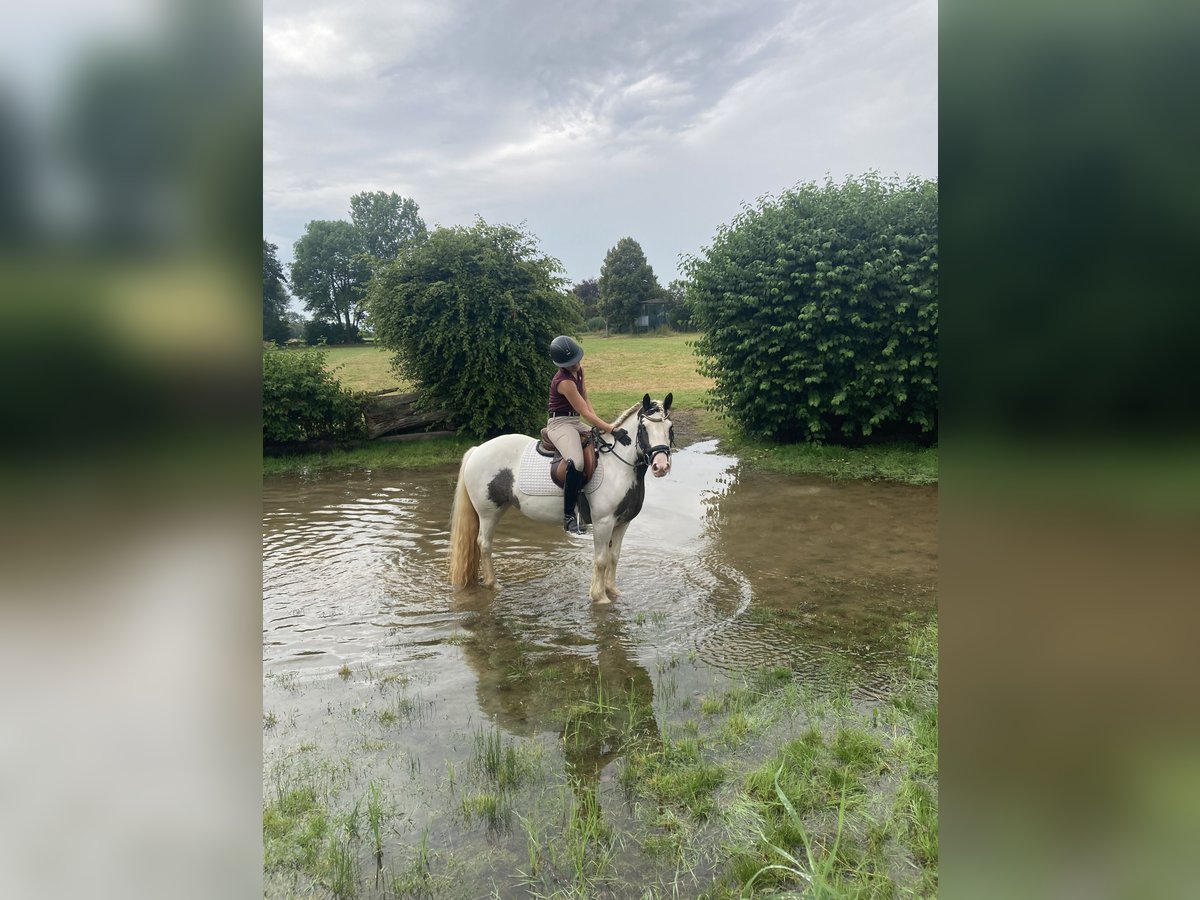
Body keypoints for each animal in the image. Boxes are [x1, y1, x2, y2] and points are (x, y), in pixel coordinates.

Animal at [448, 393, 675, 604]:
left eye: (669, 427)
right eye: (643, 428)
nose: (661, 466)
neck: (618, 465)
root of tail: (478, 450)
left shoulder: (622, 523)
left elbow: (614, 557)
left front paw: (613, 591)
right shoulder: (603, 522)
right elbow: (601, 559)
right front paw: (599, 597)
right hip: (488, 512)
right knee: (484, 544)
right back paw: (493, 584)